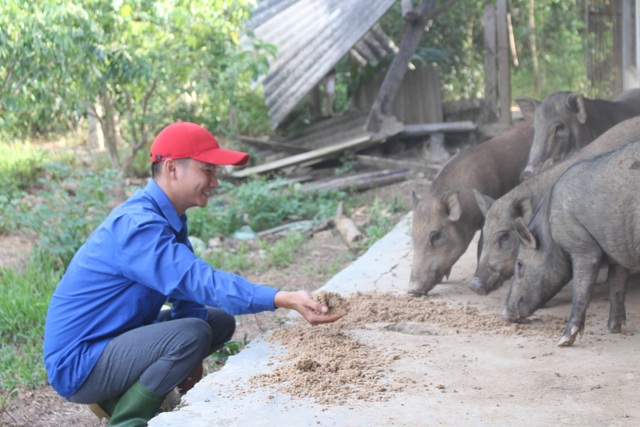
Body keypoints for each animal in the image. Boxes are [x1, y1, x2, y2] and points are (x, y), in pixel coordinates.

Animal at [502, 140, 640, 348]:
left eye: (519, 263)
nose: (504, 314)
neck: (550, 229)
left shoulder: (583, 248)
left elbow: (580, 290)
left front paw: (563, 341)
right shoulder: (617, 253)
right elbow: (616, 286)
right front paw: (613, 328)